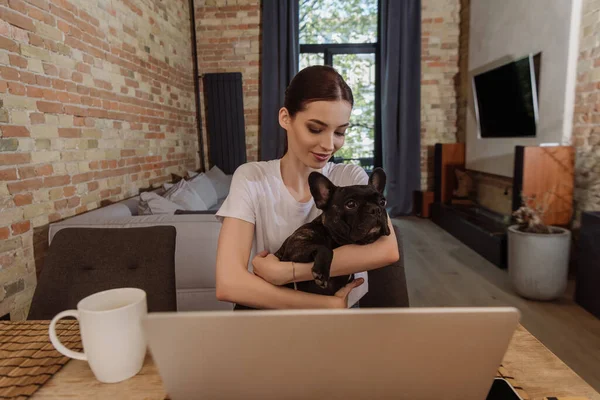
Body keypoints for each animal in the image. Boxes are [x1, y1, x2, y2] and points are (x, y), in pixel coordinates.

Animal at [276, 167, 392, 296]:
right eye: (350, 204)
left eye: (383, 202)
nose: (376, 209)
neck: (333, 239)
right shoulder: (296, 245)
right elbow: (325, 249)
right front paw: (321, 272)